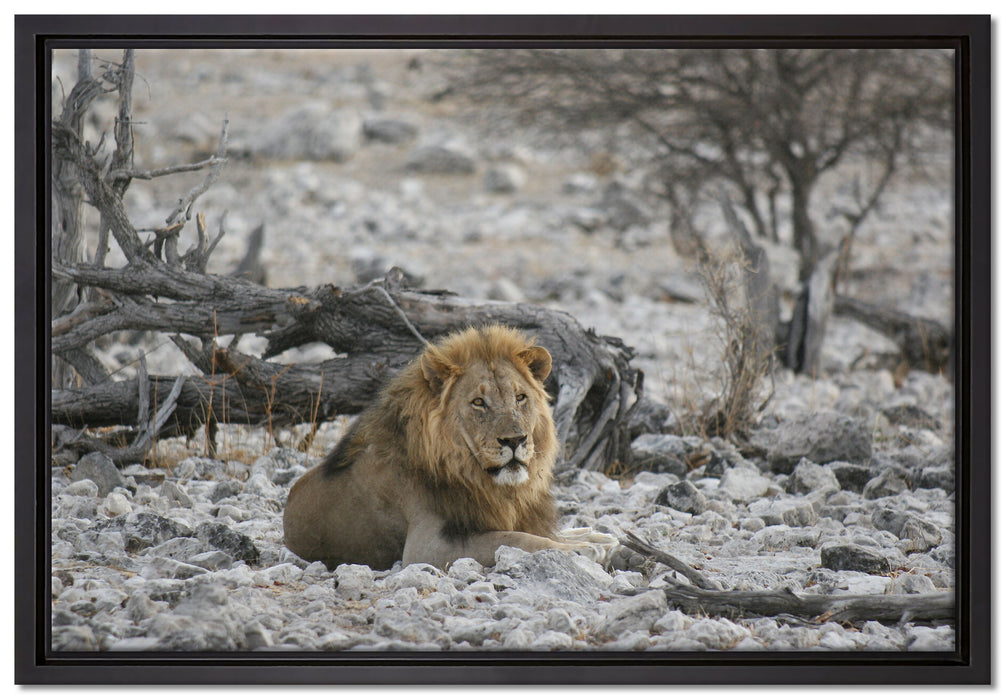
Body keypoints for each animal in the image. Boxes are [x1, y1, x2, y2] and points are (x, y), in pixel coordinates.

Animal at [283, 324, 616, 571]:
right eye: (479, 402)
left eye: (520, 397)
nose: (514, 440)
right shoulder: (426, 547)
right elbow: (515, 539)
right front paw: (583, 550)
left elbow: (532, 532)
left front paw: (594, 539)